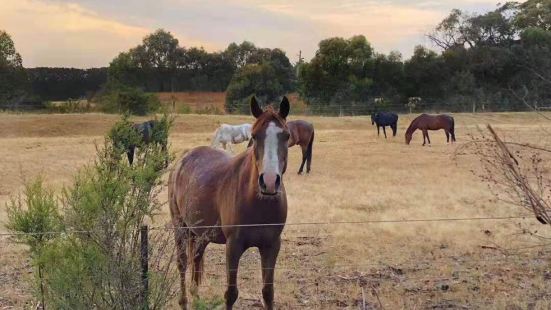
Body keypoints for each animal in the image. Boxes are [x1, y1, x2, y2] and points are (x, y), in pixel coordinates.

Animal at [169, 95, 294, 308]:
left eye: (286, 136)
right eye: (255, 135)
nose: (269, 182)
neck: (258, 203)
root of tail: (183, 159)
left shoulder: (271, 246)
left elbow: (268, 292)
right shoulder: (233, 246)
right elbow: (231, 293)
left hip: (201, 233)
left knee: (196, 258)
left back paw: (195, 296)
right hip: (180, 227)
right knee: (183, 262)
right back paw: (184, 301)